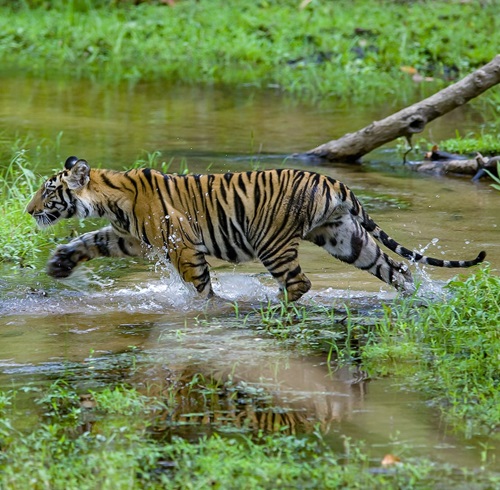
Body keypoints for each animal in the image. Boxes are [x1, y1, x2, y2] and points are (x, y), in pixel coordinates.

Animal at [25, 155, 486, 300]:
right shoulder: (130, 238)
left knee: (299, 283)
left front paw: (209, 308)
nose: (29, 211)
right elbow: (89, 240)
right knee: (396, 268)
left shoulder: (180, 245)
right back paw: (415, 299)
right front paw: (59, 264)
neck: (109, 197)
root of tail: (334, 181)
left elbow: (200, 287)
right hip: (344, 238)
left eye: (48, 191)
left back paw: (271, 305)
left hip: (273, 241)